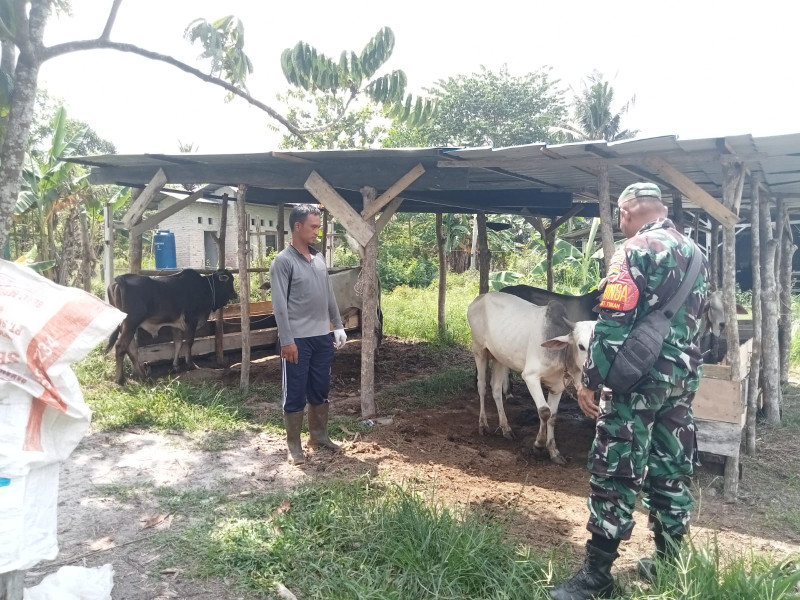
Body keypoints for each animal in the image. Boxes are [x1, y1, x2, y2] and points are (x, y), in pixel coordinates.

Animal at [104, 268, 234, 384]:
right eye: (230, 280)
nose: (235, 294)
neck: (205, 287)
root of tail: (120, 279)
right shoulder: (191, 320)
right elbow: (189, 342)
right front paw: (190, 364)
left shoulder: (176, 325)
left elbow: (178, 343)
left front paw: (175, 366)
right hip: (131, 322)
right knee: (121, 347)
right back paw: (120, 379)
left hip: (125, 326)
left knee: (131, 349)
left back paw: (142, 375)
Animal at [468, 292, 592, 466]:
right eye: (581, 346)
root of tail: (480, 298)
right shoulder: (530, 376)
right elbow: (544, 411)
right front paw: (538, 446)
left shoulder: (558, 387)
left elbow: (552, 416)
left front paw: (554, 452)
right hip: (479, 350)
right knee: (482, 386)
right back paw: (483, 425)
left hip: (499, 357)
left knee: (496, 389)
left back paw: (506, 428)